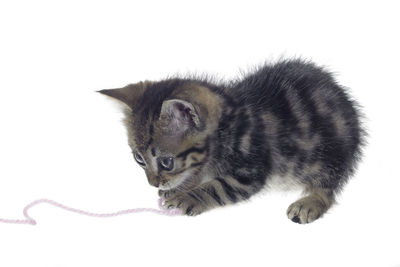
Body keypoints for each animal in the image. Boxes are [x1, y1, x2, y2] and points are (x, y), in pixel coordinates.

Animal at [98, 59, 364, 224]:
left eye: (166, 162)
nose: (153, 184)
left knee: (328, 185)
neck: (227, 126)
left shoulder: (249, 170)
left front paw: (187, 196)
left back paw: (310, 202)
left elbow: (216, 186)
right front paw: (181, 186)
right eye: (139, 159)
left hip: (329, 155)